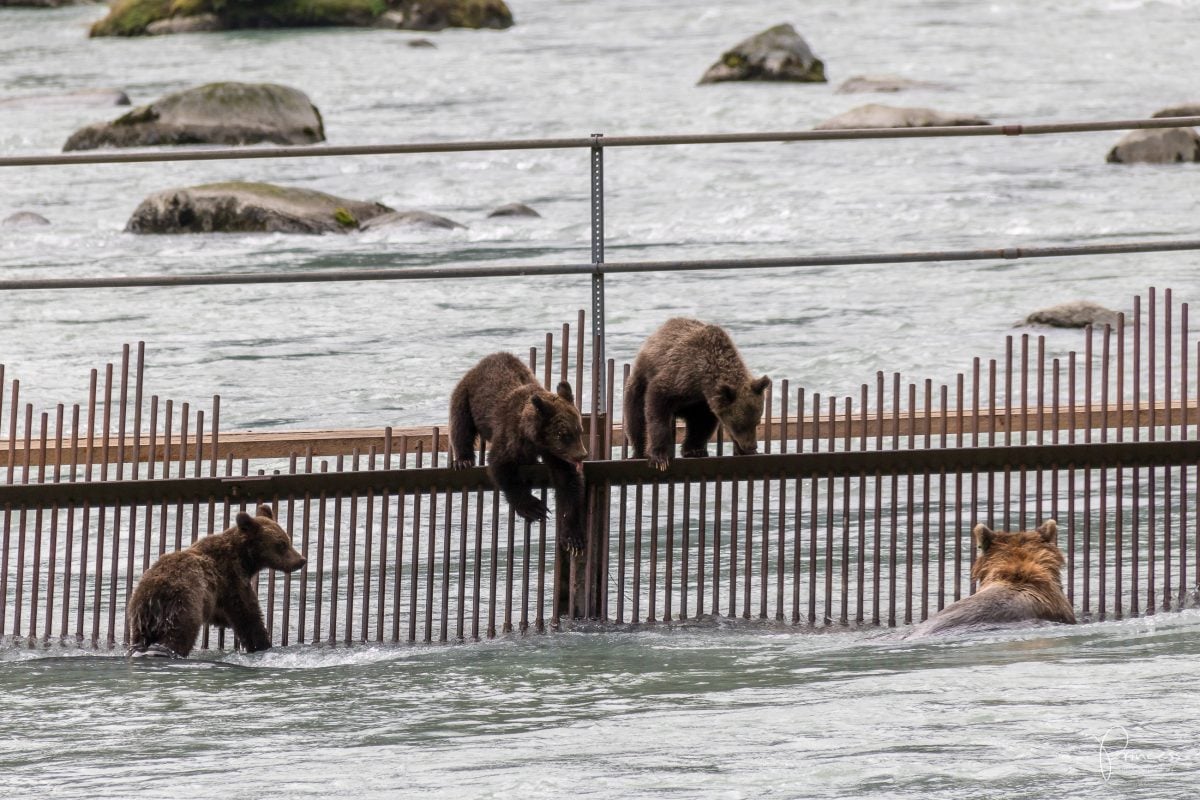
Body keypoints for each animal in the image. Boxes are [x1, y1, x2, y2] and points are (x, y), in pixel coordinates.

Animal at [125, 506, 304, 657]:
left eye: (288, 539)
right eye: (281, 544)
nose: (301, 560)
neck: (245, 560)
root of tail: (152, 595)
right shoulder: (231, 580)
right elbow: (248, 615)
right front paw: (261, 643)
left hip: (141, 618)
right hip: (183, 605)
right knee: (179, 635)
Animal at [448, 352, 588, 554]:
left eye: (579, 430)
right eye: (563, 434)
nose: (581, 455)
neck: (534, 438)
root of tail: (482, 362)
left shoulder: (555, 453)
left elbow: (568, 482)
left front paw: (573, 537)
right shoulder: (509, 436)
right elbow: (502, 468)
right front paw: (535, 508)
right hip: (466, 395)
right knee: (460, 424)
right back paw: (463, 460)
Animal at [624, 316, 772, 472]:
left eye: (757, 422)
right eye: (739, 425)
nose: (751, 446)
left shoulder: (702, 402)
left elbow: (702, 423)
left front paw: (694, 450)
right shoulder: (678, 378)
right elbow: (657, 409)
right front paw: (660, 458)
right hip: (637, 384)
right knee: (635, 418)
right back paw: (638, 451)